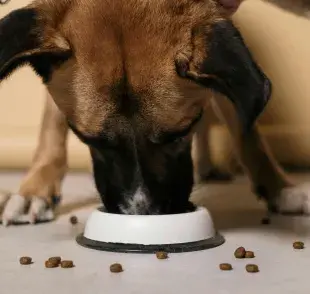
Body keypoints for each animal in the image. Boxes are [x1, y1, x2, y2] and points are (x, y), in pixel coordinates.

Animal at [0, 0, 308, 225]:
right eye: (90, 140)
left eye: (180, 134)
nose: (143, 213)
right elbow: (52, 123)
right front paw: (34, 189)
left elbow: (246, 131)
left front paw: (278, 188)